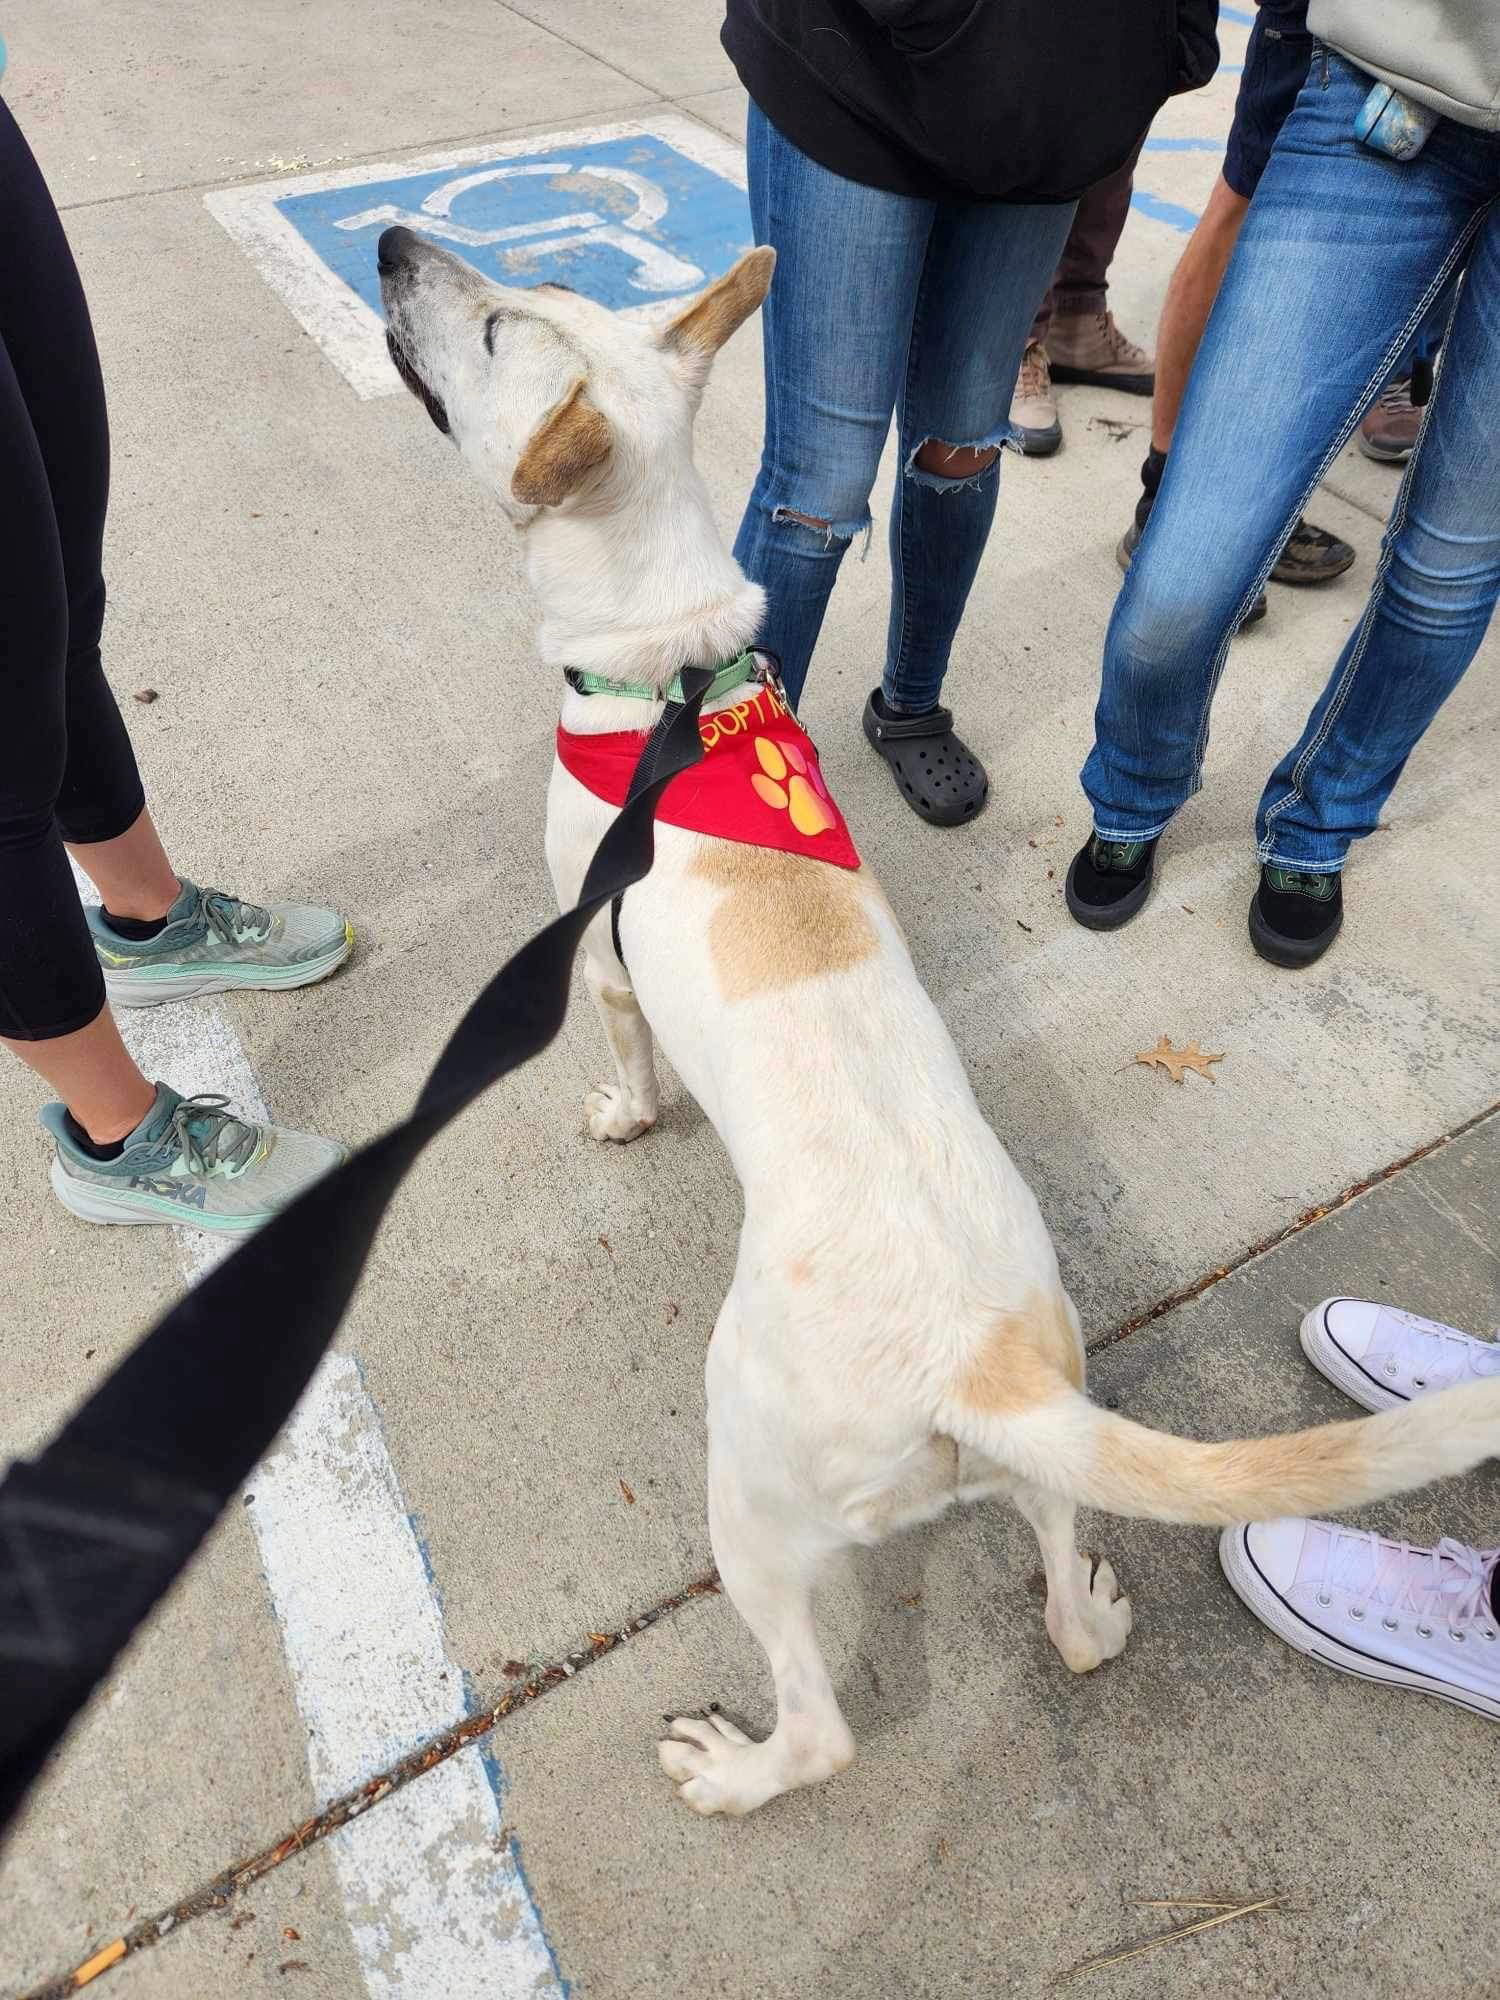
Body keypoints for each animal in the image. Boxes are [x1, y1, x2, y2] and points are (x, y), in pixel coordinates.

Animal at [382, 230, 1500, 1816]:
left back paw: (735, 1767)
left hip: (751, 1492)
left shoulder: (597, 960)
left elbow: (629, 1063)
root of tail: (987, 1370)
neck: (670, 672)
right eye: (525, 301)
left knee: (822, 1725)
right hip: (1046, 1454)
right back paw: (1090, 1613)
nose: (390, 243)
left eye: (490, 332)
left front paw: (624, 1115)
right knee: (1061, 1593)